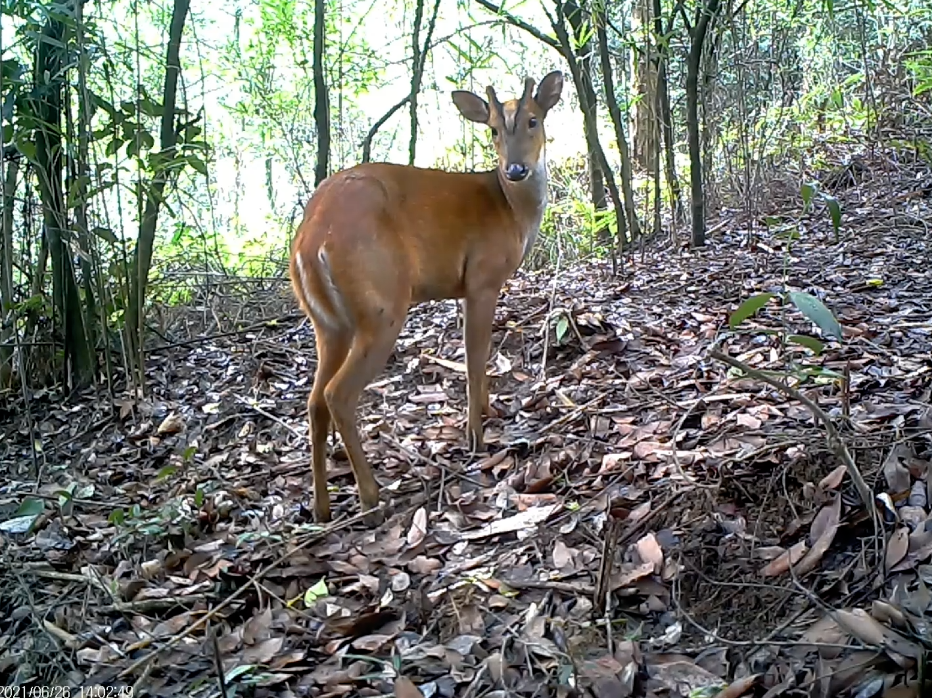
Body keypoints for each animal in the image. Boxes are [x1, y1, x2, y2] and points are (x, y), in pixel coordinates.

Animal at [288, 70, 564, 520]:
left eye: (533, 120)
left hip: (327, 324)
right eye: (492, 130)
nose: (516, 168)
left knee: (314, 401)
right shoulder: (483, 277)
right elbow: (474, 359)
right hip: (382, 304)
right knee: (337, 395)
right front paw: (476, 436)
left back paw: (321, 507)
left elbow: (479, 357)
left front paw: (488, 412)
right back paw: (370, 496)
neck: (511, 210)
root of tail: (309, 242)